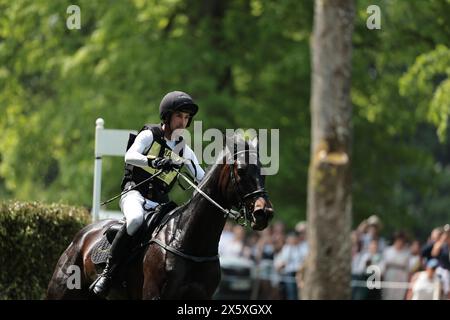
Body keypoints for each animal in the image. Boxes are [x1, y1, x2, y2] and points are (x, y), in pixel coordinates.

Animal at [46, 136, 274, 298]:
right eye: (241, 170)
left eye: (263, 171)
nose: (264, 213)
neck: (189, 240)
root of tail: (83, 234)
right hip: (61, 289)